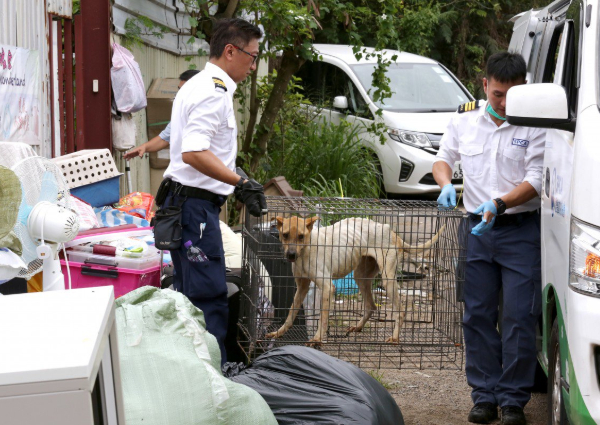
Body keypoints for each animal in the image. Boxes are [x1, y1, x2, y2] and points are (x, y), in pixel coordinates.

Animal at [268, 215, 446, 344]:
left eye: (300, 236)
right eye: (285, 235)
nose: (291, 255)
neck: (308, 248)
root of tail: (390, 231)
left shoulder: (327, 288)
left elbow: (323, 318)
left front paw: (318, 339)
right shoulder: (302, 287)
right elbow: (291, 314)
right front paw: (279, 332)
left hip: (388, 280)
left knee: (400, 310)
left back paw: (395, 337)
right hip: (361, 277)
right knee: (371, 305)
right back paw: (359, 327)